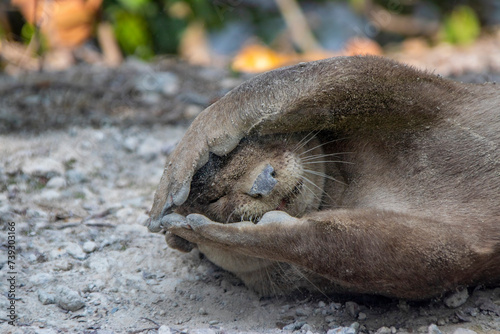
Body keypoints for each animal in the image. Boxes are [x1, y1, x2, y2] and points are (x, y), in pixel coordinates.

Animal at [147, 56, 500, 298]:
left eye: (254, 145)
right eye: (215, 197)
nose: (263, 181)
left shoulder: (439, 98)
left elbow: (336, 74)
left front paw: (190, 150)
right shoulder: (458, 245)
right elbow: (366, 252)